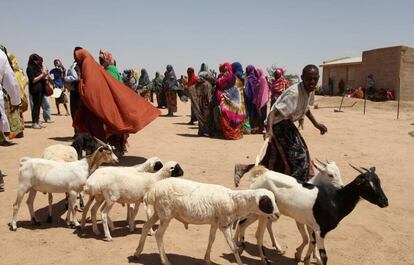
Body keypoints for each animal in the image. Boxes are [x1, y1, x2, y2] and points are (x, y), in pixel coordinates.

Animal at [134, 176, 280, 265]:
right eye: (267, 203)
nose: (277, 215)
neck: (235, 201)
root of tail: (152, 190)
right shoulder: (224, 225)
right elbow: (233, 247)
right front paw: (240, 262)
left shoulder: (215, 223)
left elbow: (211, 240)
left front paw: (207, 259)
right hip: (166, 214)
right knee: (158, 235)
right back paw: (165, 261)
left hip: (159, 212)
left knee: (146, 227)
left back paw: (137, 252)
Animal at [236, 164, 388, 262]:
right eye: (367, 184)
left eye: (378, 181)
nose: (385, 201)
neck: (335, 200)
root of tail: (259, 176)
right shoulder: (321, 230)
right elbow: (323, 255)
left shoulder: (312, 226)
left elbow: (311, 242)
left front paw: (303, 257)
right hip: (262, 214)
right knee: (258, 235)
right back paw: (263, 258)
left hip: (258, 212)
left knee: (242, 223)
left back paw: (240, 247)